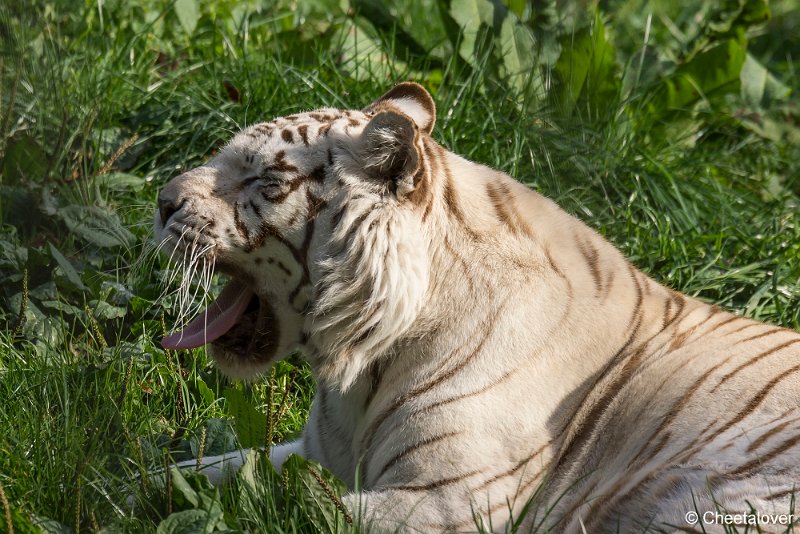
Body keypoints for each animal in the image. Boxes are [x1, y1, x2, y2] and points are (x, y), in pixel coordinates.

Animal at [153, 81, 800, 532]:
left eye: (264, 181)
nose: (160, 201)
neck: (362, 366)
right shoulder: (311, 451)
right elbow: (201, 474)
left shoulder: (446, 502)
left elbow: (289, 504)